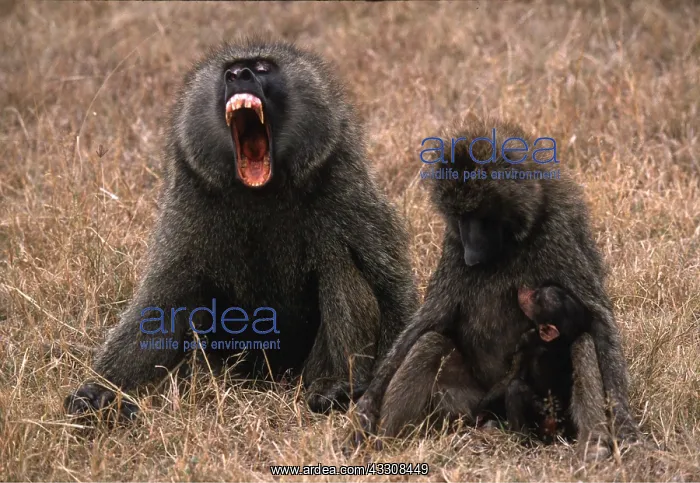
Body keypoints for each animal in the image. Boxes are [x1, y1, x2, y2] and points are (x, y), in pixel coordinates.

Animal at [64, 38, 418, 420]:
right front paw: (99, 391)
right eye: (230, 71)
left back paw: (334, 387)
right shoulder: (190, 199)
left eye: (262, 68)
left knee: (339, 264)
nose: (239, 75)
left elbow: (391, 286)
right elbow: (163, 301)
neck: (261, 192)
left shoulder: (343, 181)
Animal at [475, 285, 591, 442]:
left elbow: (511, 376)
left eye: (535, 297)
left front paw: (481, 411)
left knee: (515, 387)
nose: (526, 288)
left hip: (544, 417)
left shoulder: (527, 339)